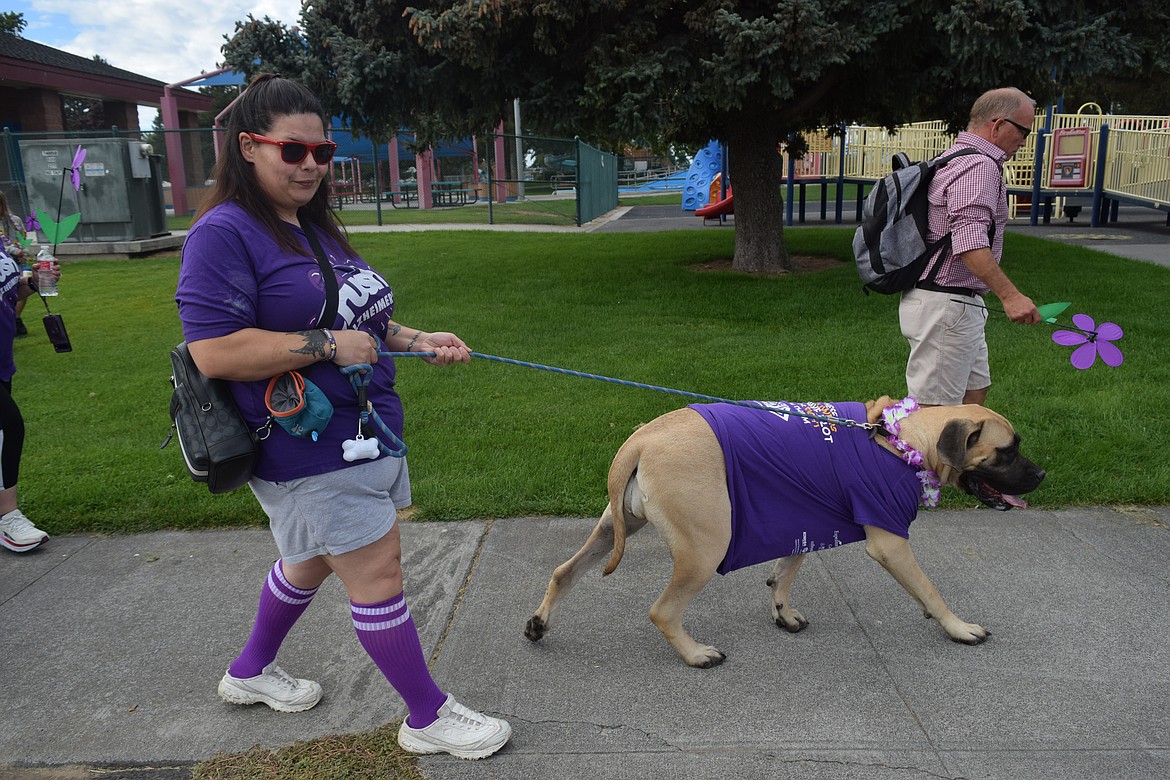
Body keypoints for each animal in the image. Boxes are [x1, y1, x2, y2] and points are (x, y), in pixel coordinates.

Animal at [526, 399, 1048, 668]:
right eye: (1007, 451)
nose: (1042, 474)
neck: (902, 441)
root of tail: (639, 439)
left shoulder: (801, 516)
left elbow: (785, 570)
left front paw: (783, 611)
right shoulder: (889, 542)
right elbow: (931, 590)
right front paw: (957, 627)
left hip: (616, 525)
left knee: (564, 571)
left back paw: (540, 623)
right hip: (705, 546)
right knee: (662, 610)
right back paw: (695, 654)